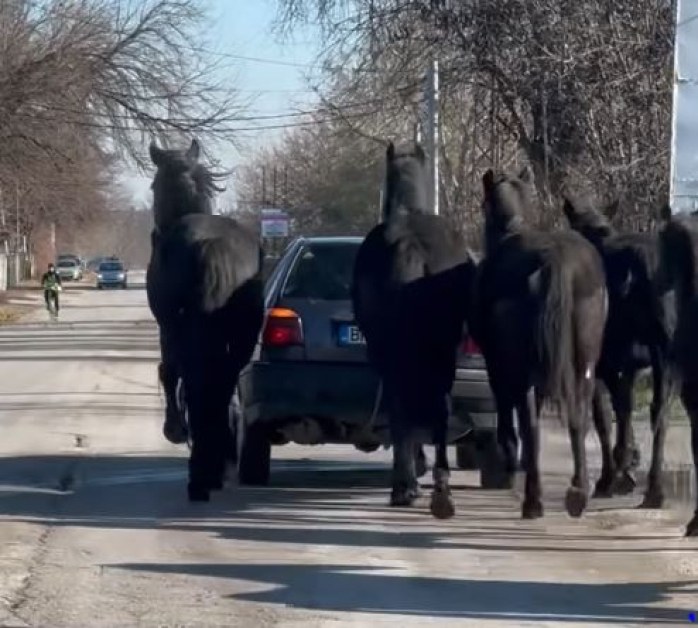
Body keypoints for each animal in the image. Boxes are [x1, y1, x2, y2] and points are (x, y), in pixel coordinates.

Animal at [146, 140, 264, 502]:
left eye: (153, 185)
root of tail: (210, 246)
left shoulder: (168, 328)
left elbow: (170, 372)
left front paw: (174, 430)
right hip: (239, 338)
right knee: (221, 383)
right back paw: (213, 464)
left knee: (198, 382)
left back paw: (200, 475)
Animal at [350, 142, 476, 520]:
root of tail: (409, 248)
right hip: (440, 352)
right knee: (438, 406)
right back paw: (440, 489)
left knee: (402, 404)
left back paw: (404, 486)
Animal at [476, 167, 608, 520]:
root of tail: (553, 260)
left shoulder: (496, 365)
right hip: (585, 362)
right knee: (579, 417)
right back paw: (578, 493)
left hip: (523, 368)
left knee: (530, 425)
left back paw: (533, 501)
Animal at [556, 199, 672, 508]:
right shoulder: (627, 365)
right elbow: (622, 413)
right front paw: (628, 463)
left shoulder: (602, 365)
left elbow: (604, 418)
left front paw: (611, 476)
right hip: (663, 356)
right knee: (660, 411)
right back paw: (654, 489)